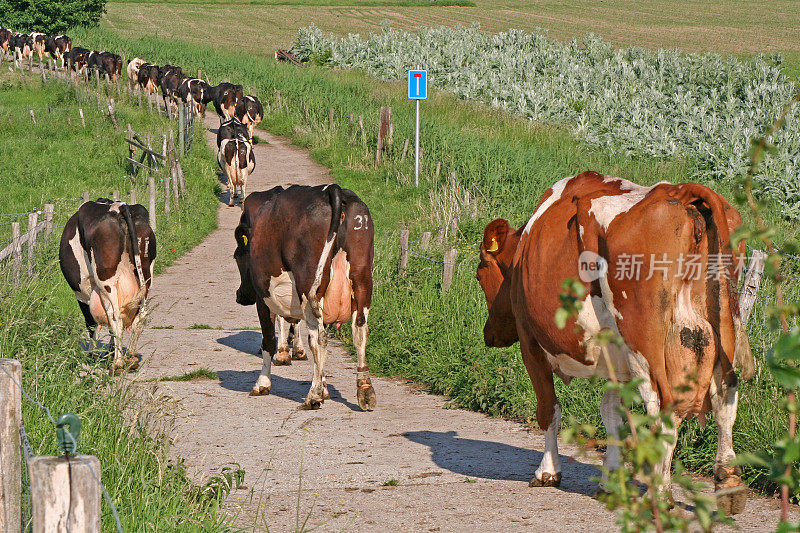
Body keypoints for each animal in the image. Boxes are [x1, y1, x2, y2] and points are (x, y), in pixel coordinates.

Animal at [58, 198, 155, 370]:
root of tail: (120, 207)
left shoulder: (82, 293)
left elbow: (90, 323)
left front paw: (93, 354)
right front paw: (109, 350)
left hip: (106, 281)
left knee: (115, 316)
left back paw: (117, 363)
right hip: (146, 275)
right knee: (140, 315)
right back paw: (131, 357)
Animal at [234, 182, 378, 408]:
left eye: (238, 256)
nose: (241, 295)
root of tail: (334, 190)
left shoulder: (262, 299)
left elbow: (268, 341)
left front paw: (262, 383)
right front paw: (324, 386)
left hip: (309, 286)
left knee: (318, 338)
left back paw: (313, 396)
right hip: (361, 278)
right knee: (359, 331)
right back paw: (365, 391)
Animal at [478, 172, 752, 512]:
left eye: (480, 274)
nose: (489, 334)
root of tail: (680, 192)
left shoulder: (531, 345)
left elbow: (548, 409)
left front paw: (547, 472)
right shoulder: (616, 361)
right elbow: (611, 414)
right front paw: (610, 482)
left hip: (644, 342)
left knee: (662, 408)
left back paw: (659, 495)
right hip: (721, 326)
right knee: (726, 396)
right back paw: (729, 484)